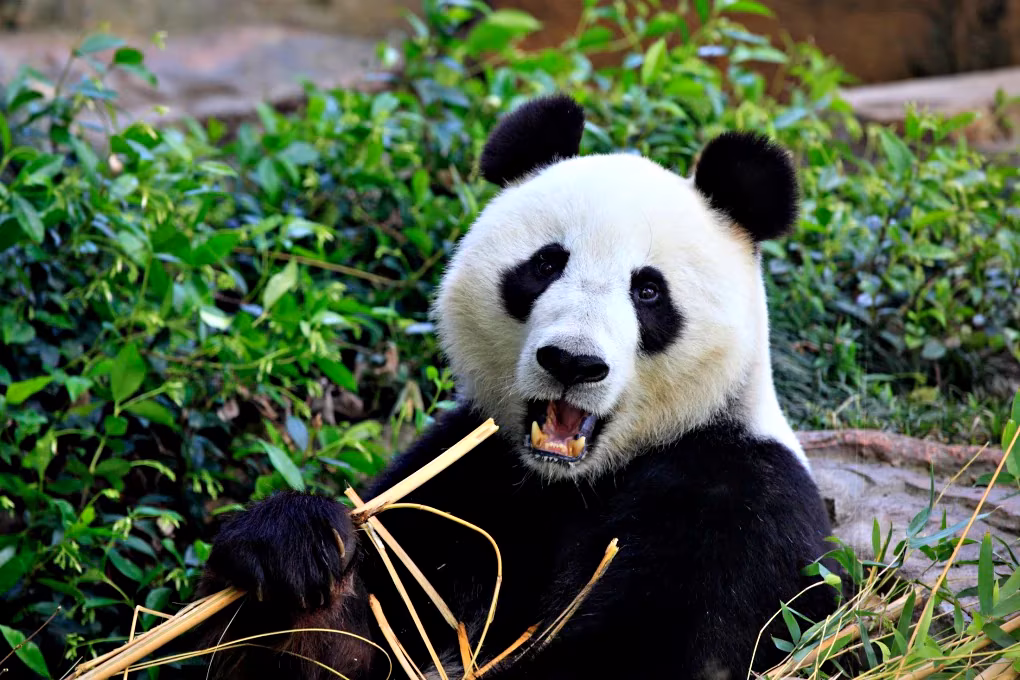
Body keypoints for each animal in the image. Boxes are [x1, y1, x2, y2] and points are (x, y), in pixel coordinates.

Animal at [197, 94, 842, 680]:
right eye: (546, 264)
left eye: (648, 291)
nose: (573, 362)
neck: (570, 483)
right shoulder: (467, 480)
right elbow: (359, 639)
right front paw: (294, 549)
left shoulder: (738, 501)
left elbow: (651, 652)